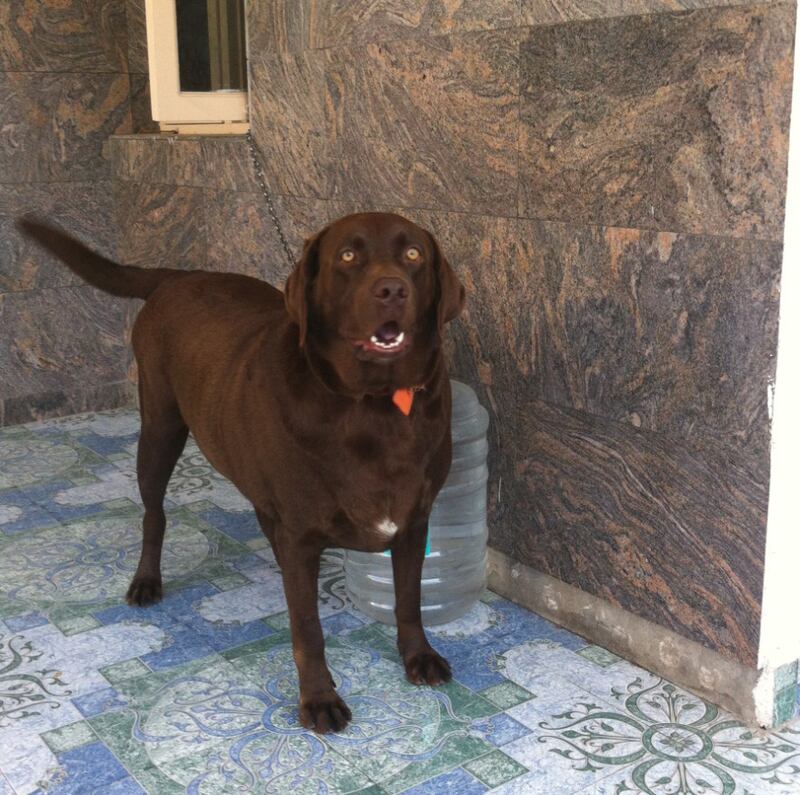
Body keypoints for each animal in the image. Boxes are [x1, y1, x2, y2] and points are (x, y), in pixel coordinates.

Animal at [18, 211, 466, 732]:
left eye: (413, 254)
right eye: (348, 256)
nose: (391, 290)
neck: (372, 405)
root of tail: (181, 275)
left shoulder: (414, 522)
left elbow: (409, 601)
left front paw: (418, 656)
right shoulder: (301, 532)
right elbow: (307, 628)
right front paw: (319, 697)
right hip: (159, 429)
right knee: (154, 513)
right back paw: (146, 580)